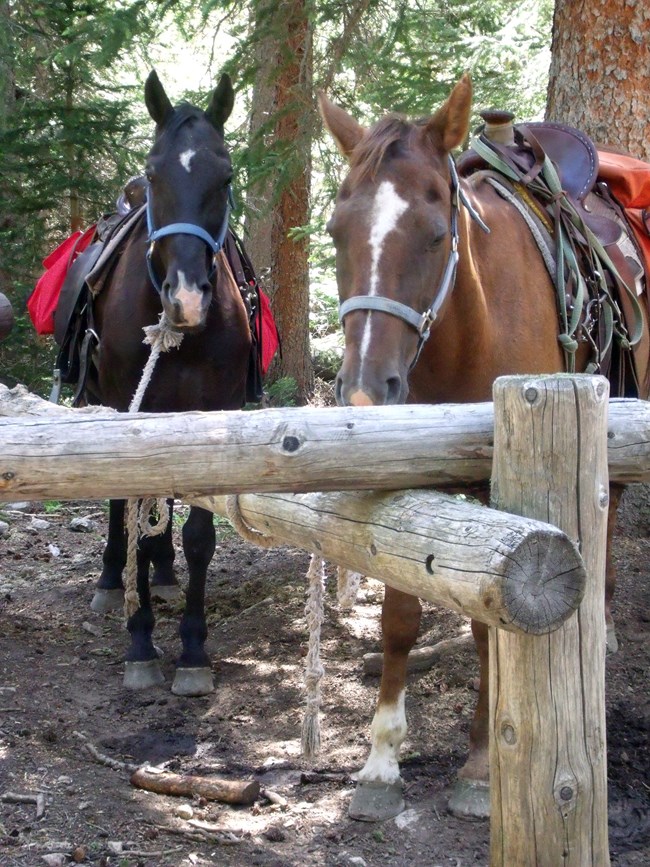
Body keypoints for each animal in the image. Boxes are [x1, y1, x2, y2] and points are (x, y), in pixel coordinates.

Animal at [88, 73, 253, 700]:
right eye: (155, 173)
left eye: (224, 177)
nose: (186, 299)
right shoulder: (130, 412)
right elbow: (134, 512)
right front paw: (140, 643)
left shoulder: (214, 413)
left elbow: (200, 535)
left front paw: (193, 651)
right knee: (120, 505)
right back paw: (115, 579)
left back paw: (161, 573)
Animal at [318, 73, 644, 820]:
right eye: (336, 233)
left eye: (437, 234)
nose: (364, 390)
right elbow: (401, 616)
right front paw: (381, 761)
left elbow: (494, 627)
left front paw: (479, 767)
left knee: (611, 509)